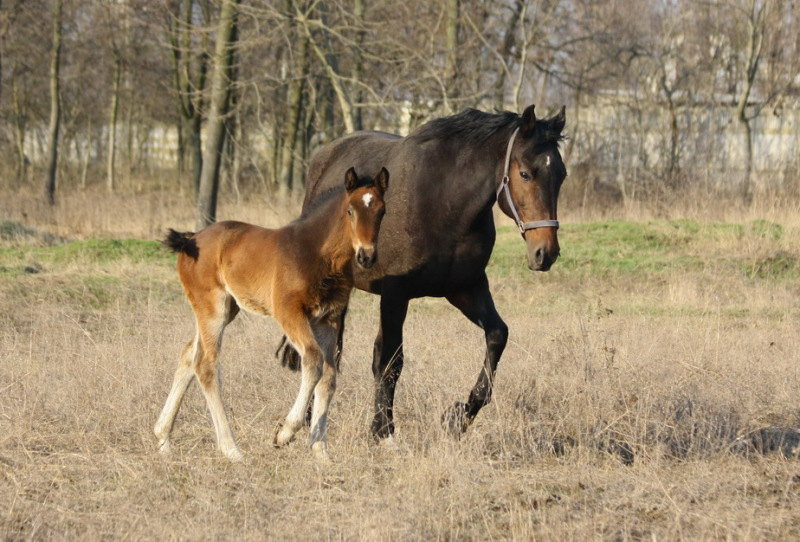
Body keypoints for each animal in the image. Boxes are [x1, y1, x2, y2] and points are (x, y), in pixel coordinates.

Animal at [155, 168, 390, 462]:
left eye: (381, 211)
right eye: (350, 210)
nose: (366, 256)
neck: (318, 254)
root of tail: (190, 240)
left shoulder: (328, 319)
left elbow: (328, 376)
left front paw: (321, 452)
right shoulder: (288, 311)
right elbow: (313, 361)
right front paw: (284, 434)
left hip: (225, 309)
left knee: (188, 355)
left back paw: (163, 438)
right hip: (213, 308)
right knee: (206, 364)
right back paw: (231, 448)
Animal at [278, 106, 564, 446]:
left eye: (561, 175)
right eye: (525, 174)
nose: (545, 253)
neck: (444, 204)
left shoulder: (466, 288)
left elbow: (497, 335)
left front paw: (457, 417)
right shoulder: (395, 294)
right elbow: (389, 360)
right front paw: (383, 430)